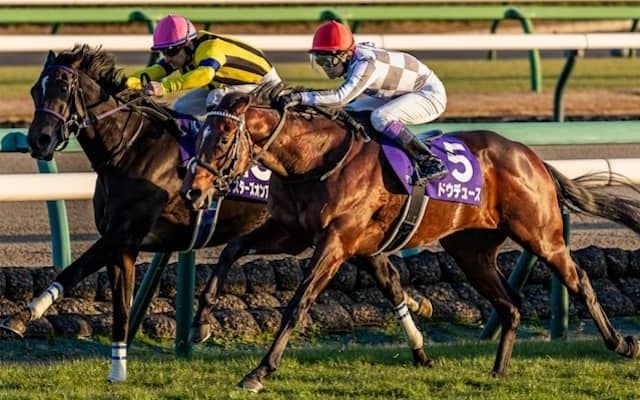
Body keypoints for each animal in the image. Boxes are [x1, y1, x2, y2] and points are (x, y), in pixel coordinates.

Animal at [2, 45, 432, 383]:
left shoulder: (123, 235)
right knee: (388, 276)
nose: (38, 140)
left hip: (336, 236)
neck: (131, 150)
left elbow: (84, 279)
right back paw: (419, 326)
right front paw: (112, 366)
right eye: (35, 90)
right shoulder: (122, 245)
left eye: (63, 88)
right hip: (346, 237)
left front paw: (24, 320)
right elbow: (106, 297)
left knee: (385, 275)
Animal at [179, 82, 640, 392]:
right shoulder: (291, 232)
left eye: (224, 137)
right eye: (200, 135)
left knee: (578, 281)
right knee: (510, 305)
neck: (316, 160)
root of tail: (532, 157)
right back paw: (497, 372)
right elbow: (231, 251)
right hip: (471, 250)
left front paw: (258, 372)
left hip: (541, 236)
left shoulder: (336, 242)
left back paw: (621, 343)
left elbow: (299, 303)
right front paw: (202, 324)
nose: (193, 191)